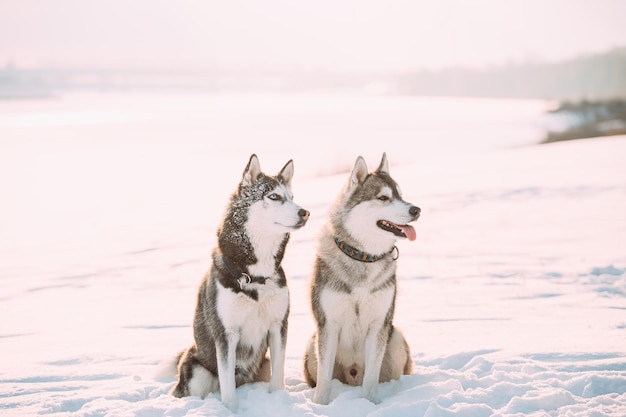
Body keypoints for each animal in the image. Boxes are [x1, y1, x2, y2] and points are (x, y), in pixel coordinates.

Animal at [169, 154, 308, 412]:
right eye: (274, 196)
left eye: (292, 197)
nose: (305, 213)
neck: (255, 277)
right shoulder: (226, 335)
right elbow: (228, 387)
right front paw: (230, 410)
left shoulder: (278, 325)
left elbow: (278, 377)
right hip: (198, 372)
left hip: (262, 365)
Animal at [304, 152, 420, 404]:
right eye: (384, 197)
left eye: (400, 194)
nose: (416, 210)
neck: (362, 257)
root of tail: (352, 373)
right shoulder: (328, 325)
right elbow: (324, 379)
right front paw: (320, 405)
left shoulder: (379, 325)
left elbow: (371, 378)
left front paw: (371, 404)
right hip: (312, 344)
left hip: (395, 337)